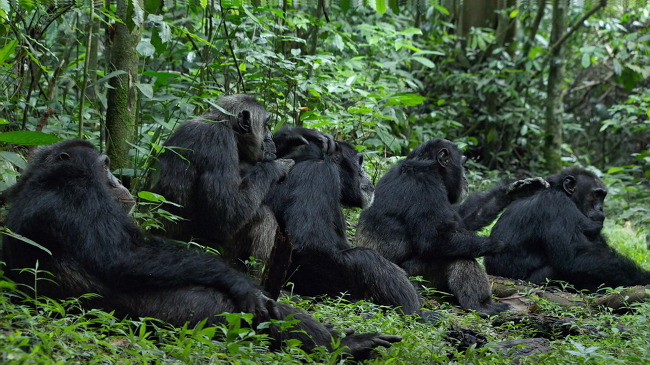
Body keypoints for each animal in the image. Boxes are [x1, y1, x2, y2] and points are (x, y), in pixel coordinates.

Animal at [2, 139, 400, 358]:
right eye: (103, 166)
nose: (115, 178)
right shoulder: (80, 194)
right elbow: (123, 257)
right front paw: (241, 284)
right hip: (175, 316)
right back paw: (347, 345)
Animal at [150, 94, 332, 270]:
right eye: (266, 124)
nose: (270, 137)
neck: (228, 128)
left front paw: (296, 133)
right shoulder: (219, 143)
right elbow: (225, 213)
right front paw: (276, 167)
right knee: (263, 216)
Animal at [354, 138, 548, 314]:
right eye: (462, 164)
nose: (465, 178)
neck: (428, 166)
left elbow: (462, 220)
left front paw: (516, 191)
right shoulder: (425, 184)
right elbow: (436, 238)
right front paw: (501, 245)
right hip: (418, 278)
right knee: (459, 256)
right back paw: (482, 305)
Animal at [486, 167, 648, 290]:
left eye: (603, 196)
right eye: (596, 195)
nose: (601, 208)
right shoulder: (555, 205)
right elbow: (575, 257)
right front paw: (645, 278)